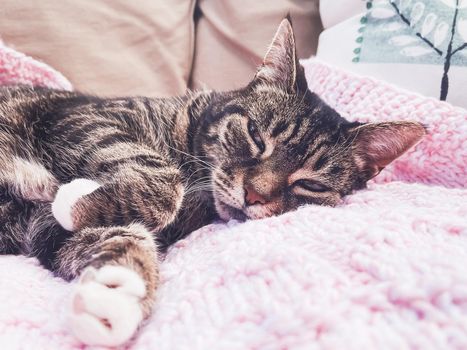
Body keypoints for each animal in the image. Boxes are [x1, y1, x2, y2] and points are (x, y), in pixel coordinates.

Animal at [0, 17, 428, 346]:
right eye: (256, 136)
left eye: (312, 185)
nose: (253, 195)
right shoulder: (83, 116)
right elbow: (162, 181)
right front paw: (78, 197)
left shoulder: (46, 230)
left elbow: (121, 236)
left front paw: (113, 292)